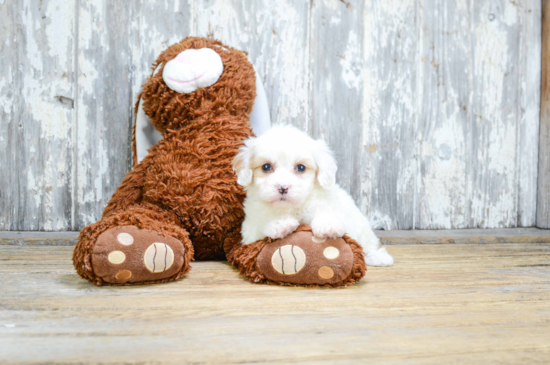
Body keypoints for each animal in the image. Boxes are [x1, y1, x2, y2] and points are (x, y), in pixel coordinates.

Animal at [235, 123, 394, 266]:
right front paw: (280, 224)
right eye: (266, 167)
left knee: (368, 245)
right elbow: (260, 227)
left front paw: (328, 226)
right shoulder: (249, 230)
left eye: (301, 168)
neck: (292, 208)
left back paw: (377, 257)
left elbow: (327, 214)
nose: (283, 188)